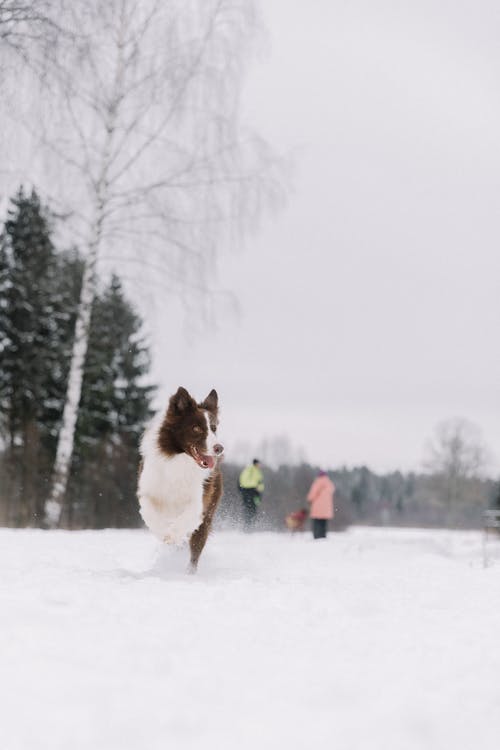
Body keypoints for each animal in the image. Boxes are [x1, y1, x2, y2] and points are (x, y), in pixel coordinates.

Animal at [136, 388, 224, 568]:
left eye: (213, 428)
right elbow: (148, 511)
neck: (178, 461)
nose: (219, 448)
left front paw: (173, 536)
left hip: (208, 515)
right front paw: (163, 533)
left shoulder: (199, 501)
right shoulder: (147, 489)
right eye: (196, 428)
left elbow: (188, 517)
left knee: (195, 551)